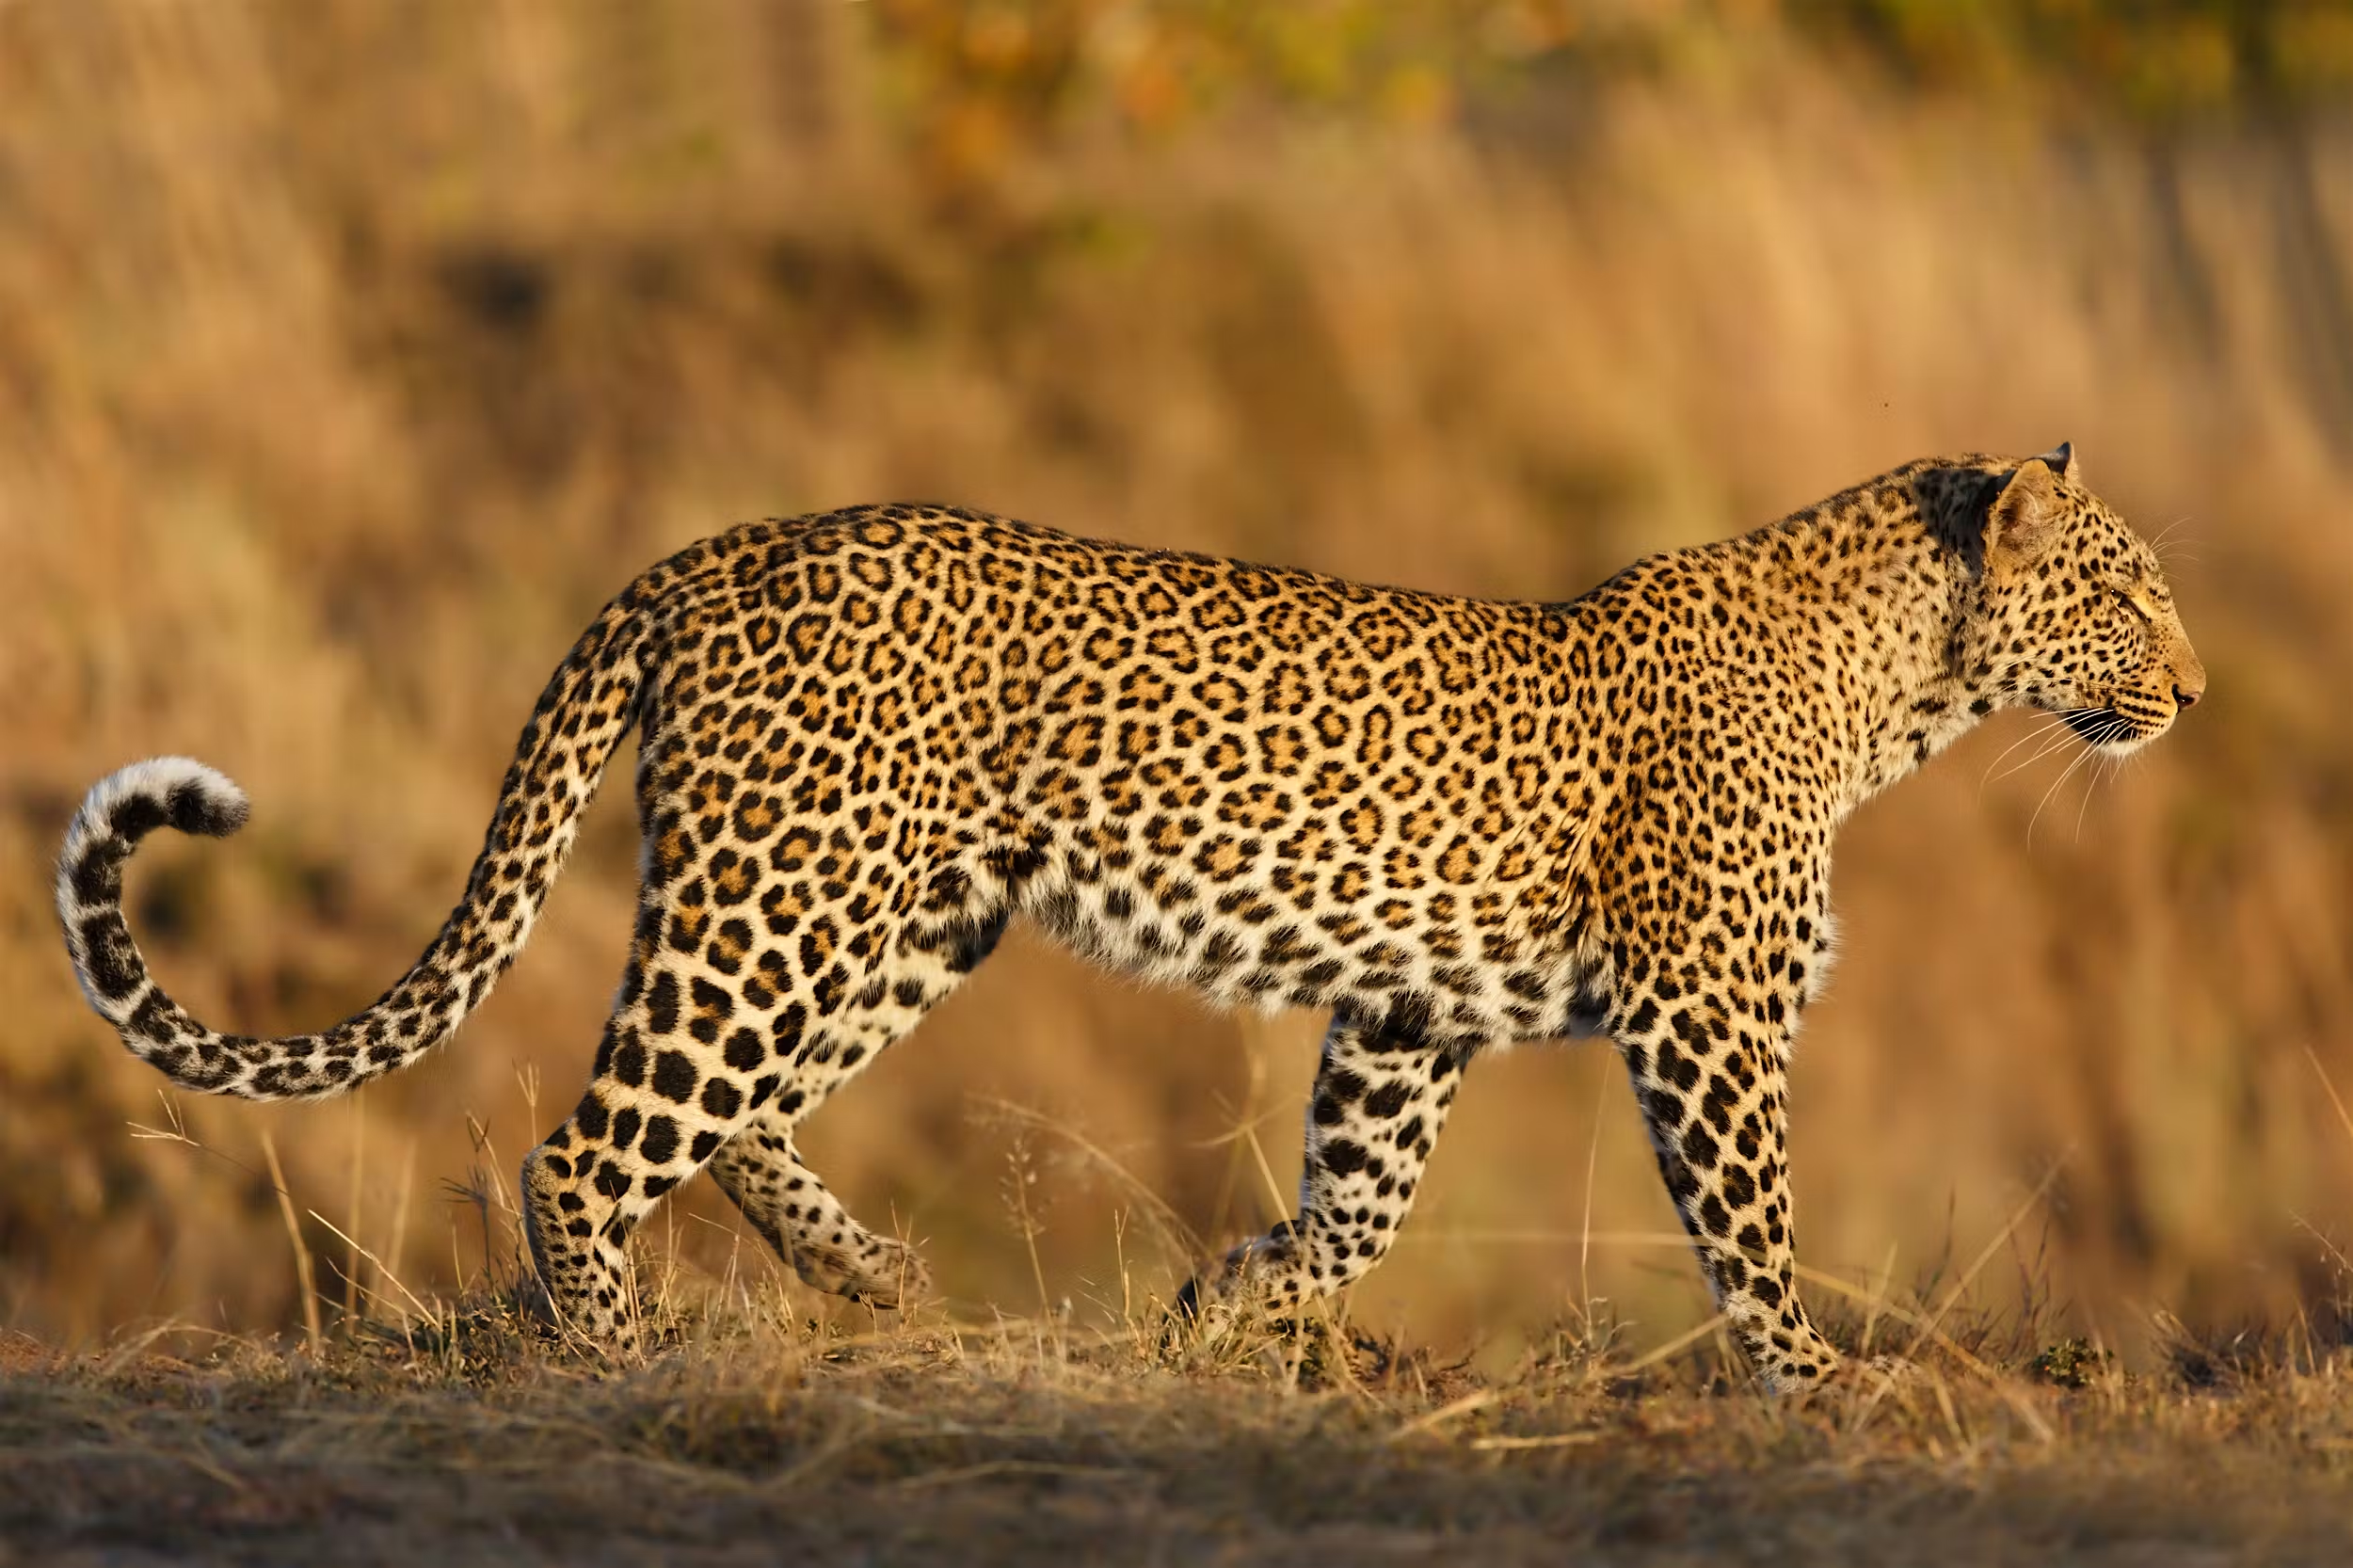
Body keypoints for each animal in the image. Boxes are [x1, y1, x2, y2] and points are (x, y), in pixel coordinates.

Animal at [56, 443, 2204, 1391]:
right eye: (2119, 592)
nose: (2188, 691)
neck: (1902, 698)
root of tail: (724, 546)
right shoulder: (1705, 1021)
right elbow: (1750, 1228)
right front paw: (1820, 1397)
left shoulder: (1405, 1012)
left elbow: (1359, 1201)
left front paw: (1220, 1307)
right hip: (793, 895)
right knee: (589, 1143)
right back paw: (612, 1351)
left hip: (903, 912)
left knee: (726, 1116)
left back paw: (876, 1281)